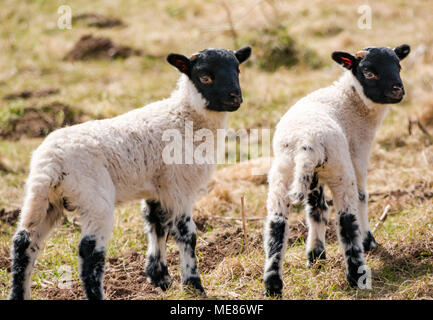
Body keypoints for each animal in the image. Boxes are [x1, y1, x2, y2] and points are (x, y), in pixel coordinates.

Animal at [8, 45, 251, 300]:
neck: (185, 116)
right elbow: (186, 234)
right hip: (93, 197)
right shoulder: (179, 186)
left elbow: (156, 224)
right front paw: (194, 286)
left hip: (41, 198)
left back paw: (18, 293)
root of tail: (51, 164)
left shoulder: (158, 187)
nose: (235, 98)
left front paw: (160, 278)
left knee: (24, 242)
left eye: (238, 70)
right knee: (89, 250)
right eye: (205, 77)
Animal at [262, 43, 410, 296]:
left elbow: (316, 210)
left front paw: (315, 254)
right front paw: (369, 242)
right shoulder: (358, 155)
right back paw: (356, 275)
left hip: (284, 175)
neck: (351, 99)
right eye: (369, 72)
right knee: (346, 220)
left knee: (276, 226)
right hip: (341, 170)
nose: (397, 91)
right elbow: (362, 197)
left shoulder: (314, 177)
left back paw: (272, 284)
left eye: (398, 66)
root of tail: (306, 142)